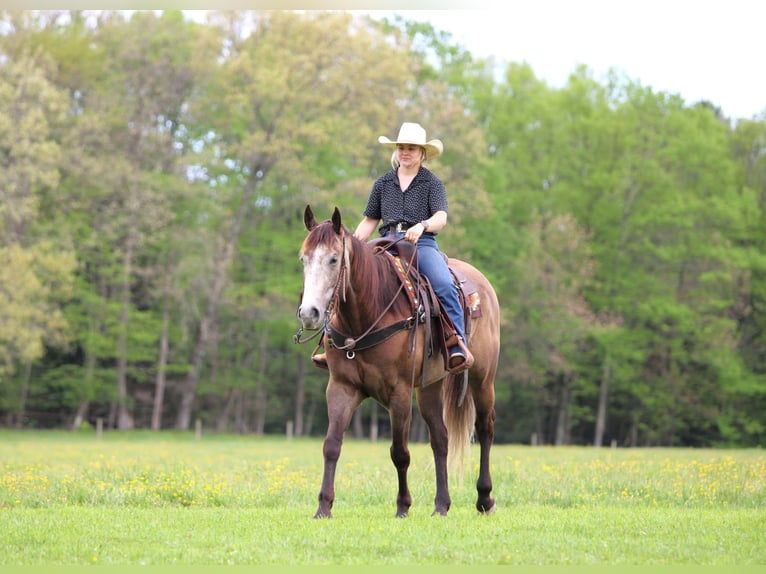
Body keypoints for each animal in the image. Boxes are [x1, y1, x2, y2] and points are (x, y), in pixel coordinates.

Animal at [295, 205, 499, 518]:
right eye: (303, 258)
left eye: (333, 259)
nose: (309, 313)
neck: (367, 314)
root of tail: (483, 286)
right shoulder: (341, 388)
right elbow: (331, 445)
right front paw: (323, 507)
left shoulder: (399, 392)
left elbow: (399, 452)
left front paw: (403, 505)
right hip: (429, 386)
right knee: (440, 439)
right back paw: (441, 505)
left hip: (482, 377)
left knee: (485, 428)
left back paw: (484, 498)